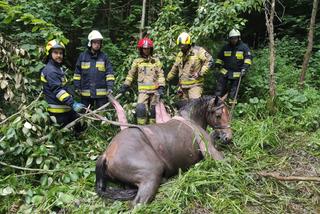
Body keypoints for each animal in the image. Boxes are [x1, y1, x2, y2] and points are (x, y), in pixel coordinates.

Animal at [95, 95, 232, 206]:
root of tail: (106, 155)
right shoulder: (212, 152)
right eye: (218, 115)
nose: (228, 137)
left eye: (228, 113)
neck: (191, 120)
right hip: (151, 175)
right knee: (138, 204)